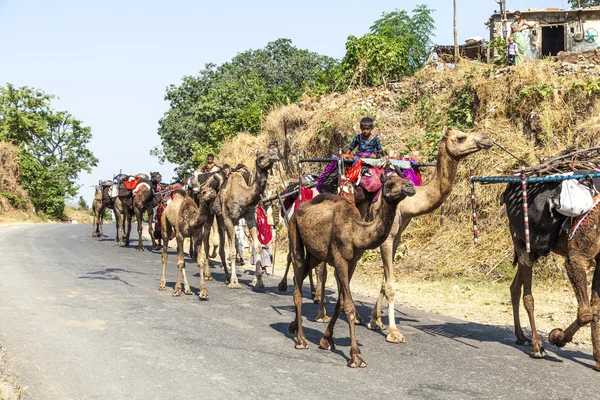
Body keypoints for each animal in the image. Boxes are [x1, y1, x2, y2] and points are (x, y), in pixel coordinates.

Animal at [205, 147, 280, 288]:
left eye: (272, 151)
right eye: (261, 156)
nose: (275, 156)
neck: (244, 196)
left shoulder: (250, 218)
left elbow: (258, 247)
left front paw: (258, 281)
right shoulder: (229, 219)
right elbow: (233, 251)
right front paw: (235, 282)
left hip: (220, 219)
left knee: (221, 247)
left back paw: (226, 276)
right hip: (209, 213)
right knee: (206, 240)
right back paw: (208, 274)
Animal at [288, 170, 414, 368]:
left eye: (404, 179)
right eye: (390, 184)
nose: (410, 186)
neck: (357, 233)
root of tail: (297, 209)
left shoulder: (353, 261)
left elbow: (340, 302)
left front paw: (326, 340)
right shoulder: (340, 259)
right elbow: (348, 305)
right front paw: (355, 356)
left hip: (315, 255)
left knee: (299, 280)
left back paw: (293, 326)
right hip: (294, 233)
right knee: (297, 284)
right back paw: (301, 340)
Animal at [504, 174, 600, 366]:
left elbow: (595, 307)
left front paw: (598, 357)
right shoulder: (577, 258)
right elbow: (586, 312)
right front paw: (557, 337)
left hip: (535, 249)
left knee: (515, 287)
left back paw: (521, 337)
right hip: (523, 240)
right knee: (528, 296)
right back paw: (537, 347)